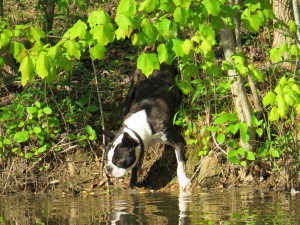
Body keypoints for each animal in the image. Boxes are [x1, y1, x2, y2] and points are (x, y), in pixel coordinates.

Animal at [105, 62, 190, 190]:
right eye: (108, 160)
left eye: (120, 163)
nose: (108, 168)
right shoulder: (139, 150)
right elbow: (135, 169)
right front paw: (131, 186)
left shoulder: (178, 141)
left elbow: (180, 163)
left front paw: (183, 181)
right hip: (133, 85)